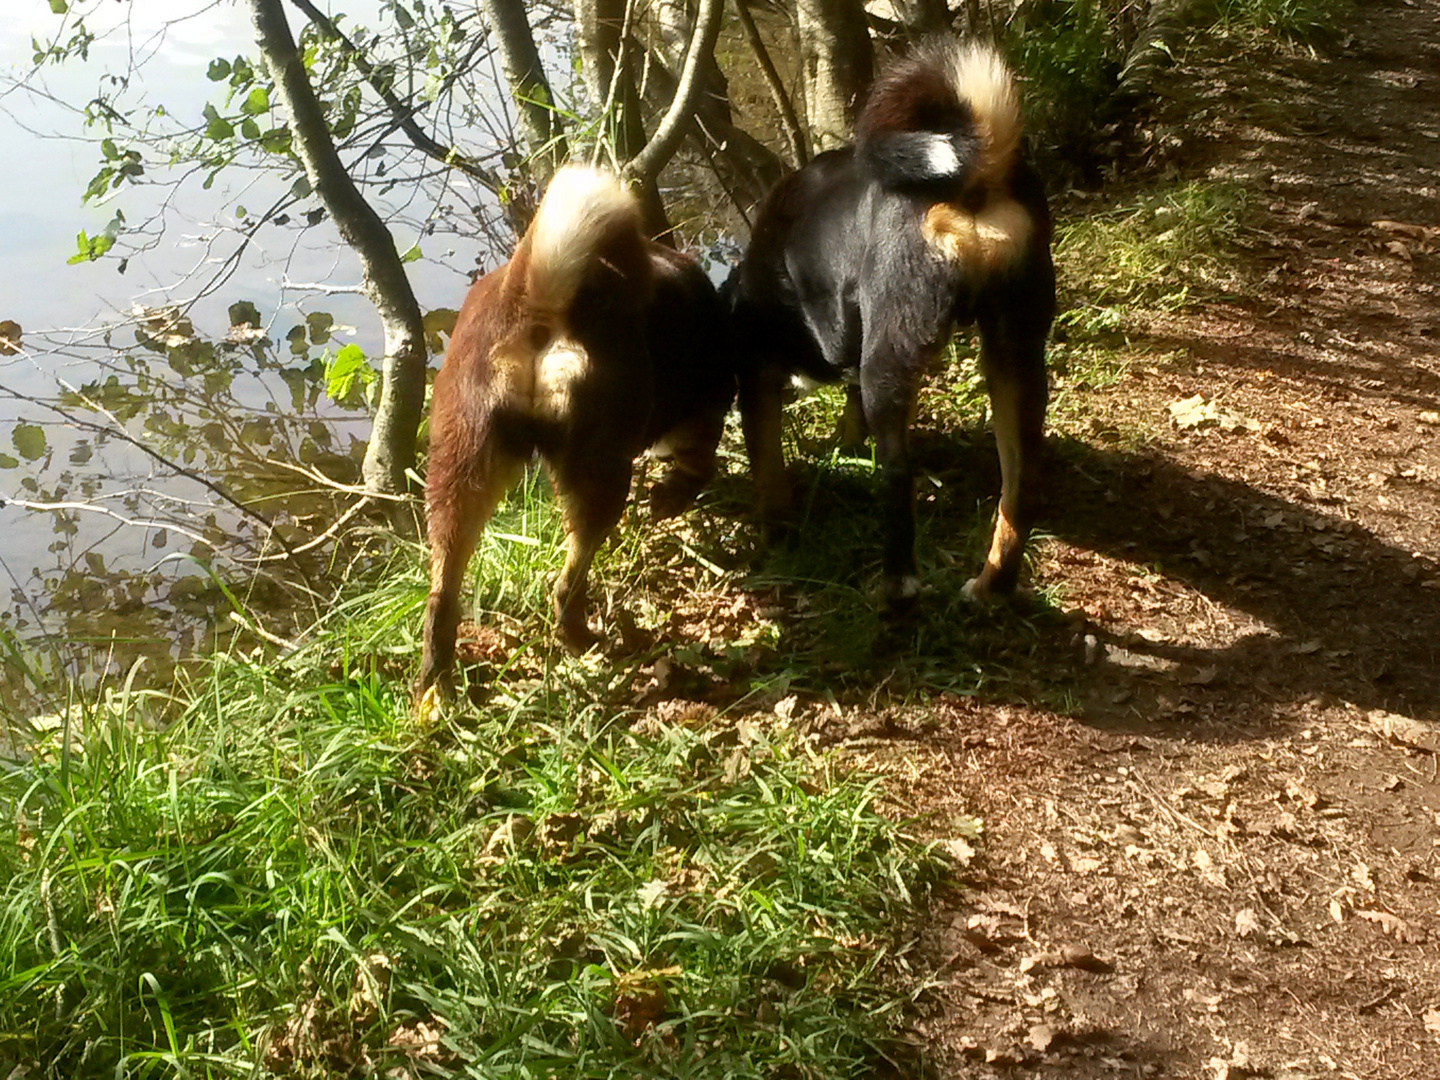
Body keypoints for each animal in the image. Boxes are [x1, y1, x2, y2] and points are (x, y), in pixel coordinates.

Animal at [414, 164, 731, 696]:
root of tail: (530, 297)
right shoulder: (702, 421)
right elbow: (696, 468)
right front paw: (672, 498)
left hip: (461, 469)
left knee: (443, 594)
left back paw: (435, 682)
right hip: (599, 472)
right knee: (567, 584)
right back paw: (585, 639)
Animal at [731, 40, 1059, 610]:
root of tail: (976, 169)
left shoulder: (759, 371)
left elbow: (767, 467)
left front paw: (774, 536)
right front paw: (844, 443)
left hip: (889, 358)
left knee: (897, 477)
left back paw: (895, 587)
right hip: (1014, 352)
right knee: (1020, 488)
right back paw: (991, 586)